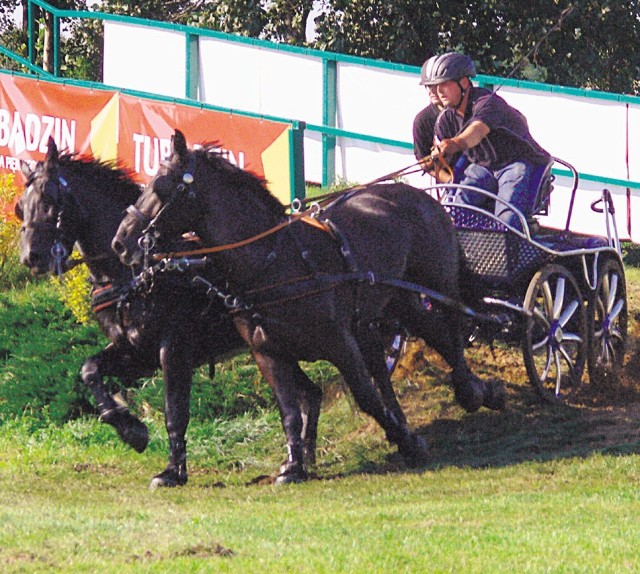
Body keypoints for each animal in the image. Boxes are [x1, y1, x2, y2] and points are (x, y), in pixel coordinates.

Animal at [15, 138, 272, 486]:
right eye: (21, 206)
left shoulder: (174, 349)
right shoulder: (136, 351)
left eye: (51, 200)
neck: (135, 274)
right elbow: (89, 370)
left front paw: (173, 471)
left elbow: (175, 410)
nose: (32, 257)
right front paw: (129, 428)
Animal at [114, 129, 504, 482]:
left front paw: (408, 443)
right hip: (396, 299)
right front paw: (293, 466)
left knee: (452, 325)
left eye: (162, 186)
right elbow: (290, 410)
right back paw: (476, 391)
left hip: (438, 281)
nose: (121, 241)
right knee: (431, 333)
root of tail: (418, 195)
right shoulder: (268, 353)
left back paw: (472, 390)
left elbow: (365, 397)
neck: (273, 263)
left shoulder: (339, 342)